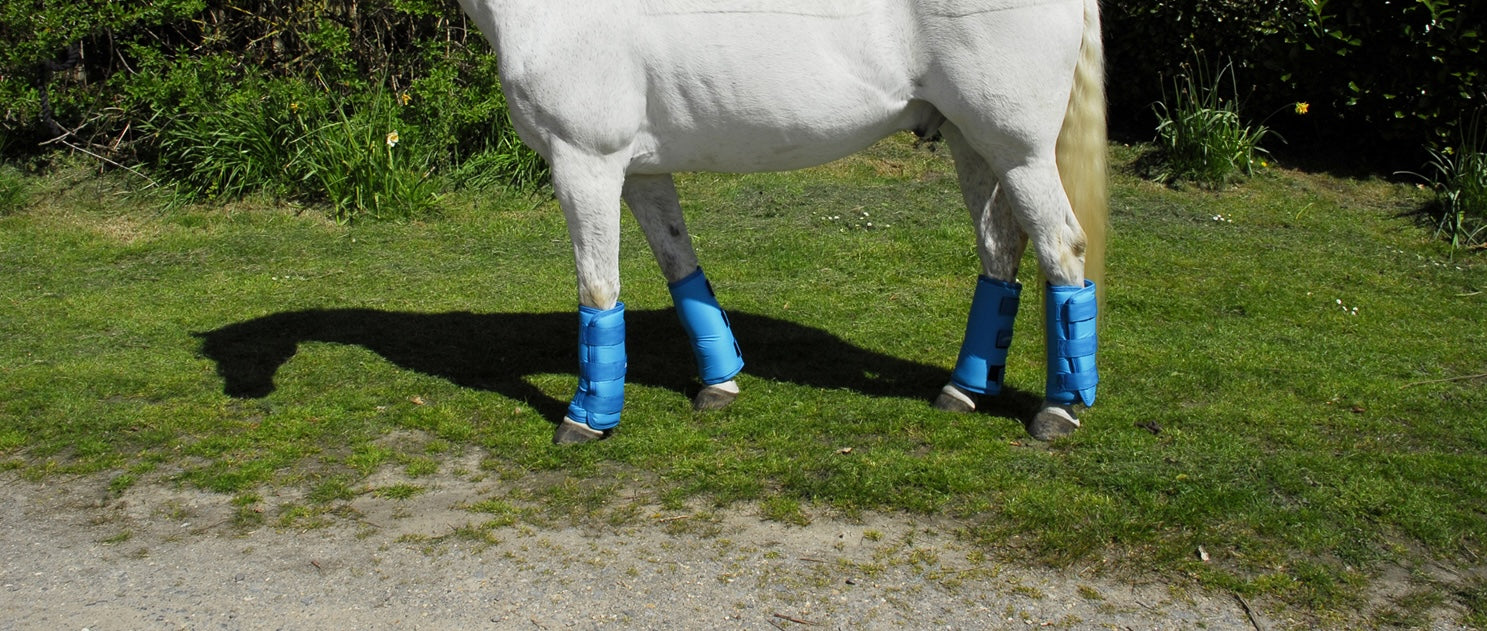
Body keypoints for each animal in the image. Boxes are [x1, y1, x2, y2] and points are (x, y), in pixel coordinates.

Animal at [454, 0, 1107, 444]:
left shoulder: (585, 163)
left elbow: (597, 288)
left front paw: (585, 420)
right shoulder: (640, 171)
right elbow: (680, 266)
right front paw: (720, 384)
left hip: (1019, 150)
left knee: (1063, 248)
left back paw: (1058, 411)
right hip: (972, 143)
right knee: (1000, 251)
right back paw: (963, 391)